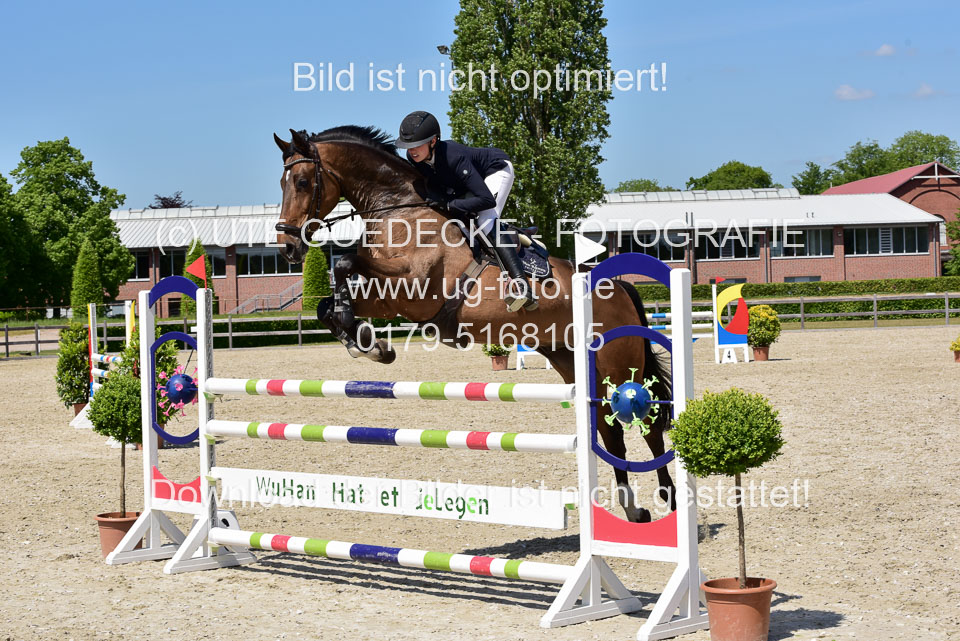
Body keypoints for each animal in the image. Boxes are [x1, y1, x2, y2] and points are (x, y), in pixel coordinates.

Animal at [272, 126, 673, 522]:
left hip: (619, 366)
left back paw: (667, 498)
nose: (287, 247)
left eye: (304, 182)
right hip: (572, 361)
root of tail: (620, 287)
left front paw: (364, 340)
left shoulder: (413, 285)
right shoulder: (390, 298)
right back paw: (632, 507)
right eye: (282, 182)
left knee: (646, 422)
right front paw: (368, 344)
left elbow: (344, 263)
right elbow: (329, 302)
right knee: (609, 430)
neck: (399, 209)